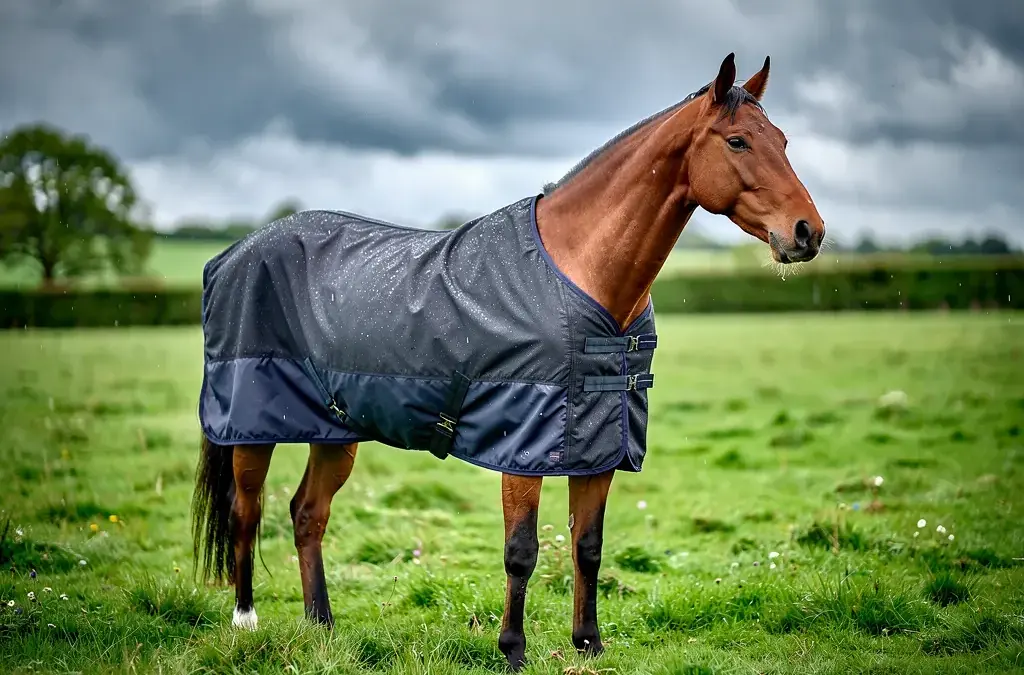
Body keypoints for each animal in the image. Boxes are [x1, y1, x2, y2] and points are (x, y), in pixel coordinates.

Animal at [190, 53, 825, 671]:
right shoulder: (521, 446)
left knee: (307, 514)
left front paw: (588, 644)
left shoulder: (597, 447)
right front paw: (513, 649)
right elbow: (521, 551)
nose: (808, 232)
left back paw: (321, 626)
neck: (580, 277)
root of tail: (232, 255)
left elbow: (588, 547)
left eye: (783, 140)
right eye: (738, 141)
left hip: (336, 429)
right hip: (251, 426)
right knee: (246, 510)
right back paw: (245, 622)